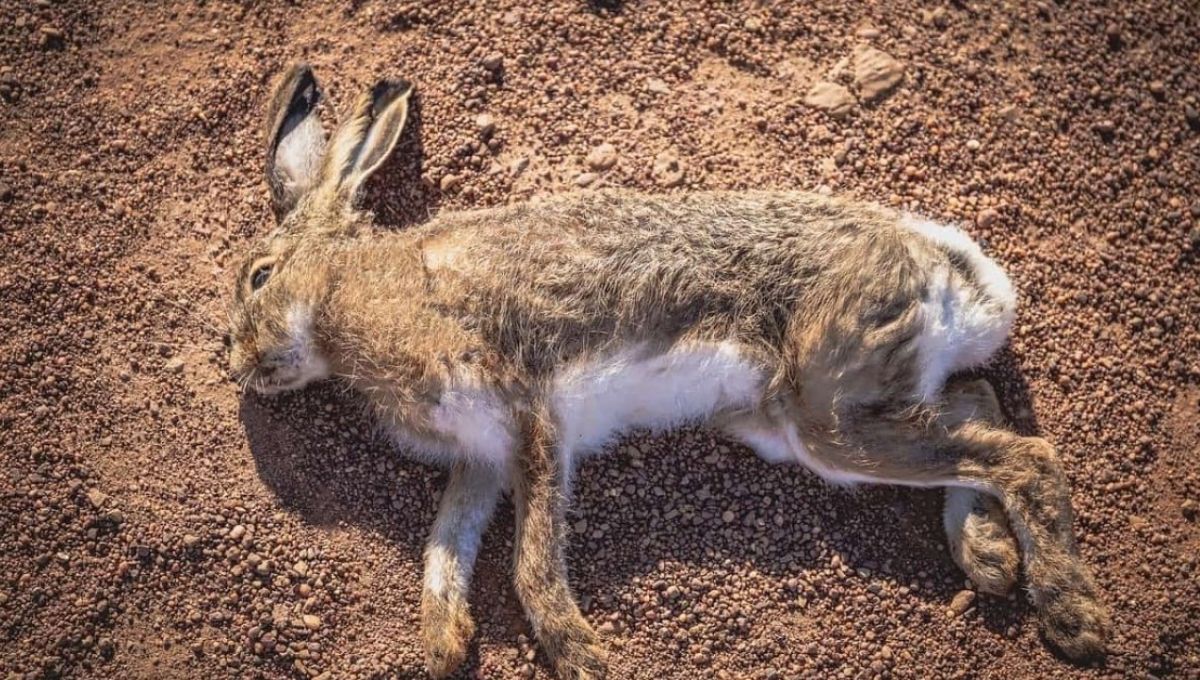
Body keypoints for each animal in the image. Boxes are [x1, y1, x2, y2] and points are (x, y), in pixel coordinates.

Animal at [227, 65, 1109, 679]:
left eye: (259, 277)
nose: (237, 363)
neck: (348, 292)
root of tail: (952, 267)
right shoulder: (480, 457)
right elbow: (446, 544)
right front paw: (444, 643)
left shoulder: (528, 414)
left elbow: (529, 560)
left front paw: (581, 653)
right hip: (805, 420)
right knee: (977, 401)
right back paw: (987, 552)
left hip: (828, 409)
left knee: (1025, 455)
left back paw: (1073, 617)